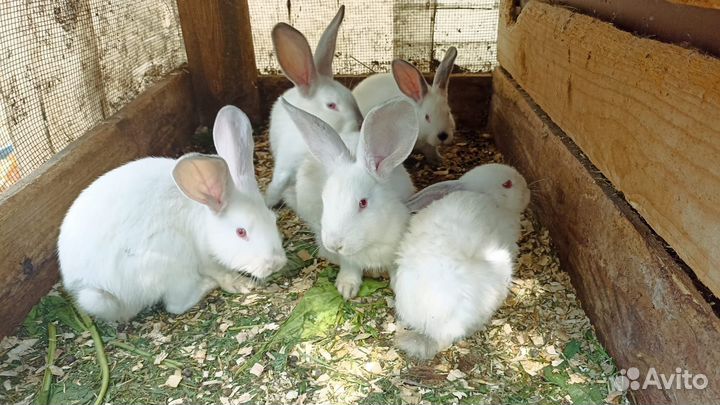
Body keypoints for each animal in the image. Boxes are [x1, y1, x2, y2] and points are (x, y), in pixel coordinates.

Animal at [57, 106, 287, 322]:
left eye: (273, 219)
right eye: (241, 232)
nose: (276, 264)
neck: (205, 219)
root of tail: (90, 286)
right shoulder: (204, 259)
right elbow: (219, 272)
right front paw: (241, 284)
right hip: (169, 265)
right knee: (176, 305)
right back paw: (206, 285)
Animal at [265, 5, 364, 207]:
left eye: (352, 97)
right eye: (331, 105)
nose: (359, 123)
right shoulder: (285, 164)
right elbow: (277, 184)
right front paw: (267, 202)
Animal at [281, 97, 418, 299]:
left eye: (363, 202)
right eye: (324, 199)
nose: (335, 244)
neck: (369, 242)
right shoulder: (348, 259)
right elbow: (349, 267)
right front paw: (346, 288)